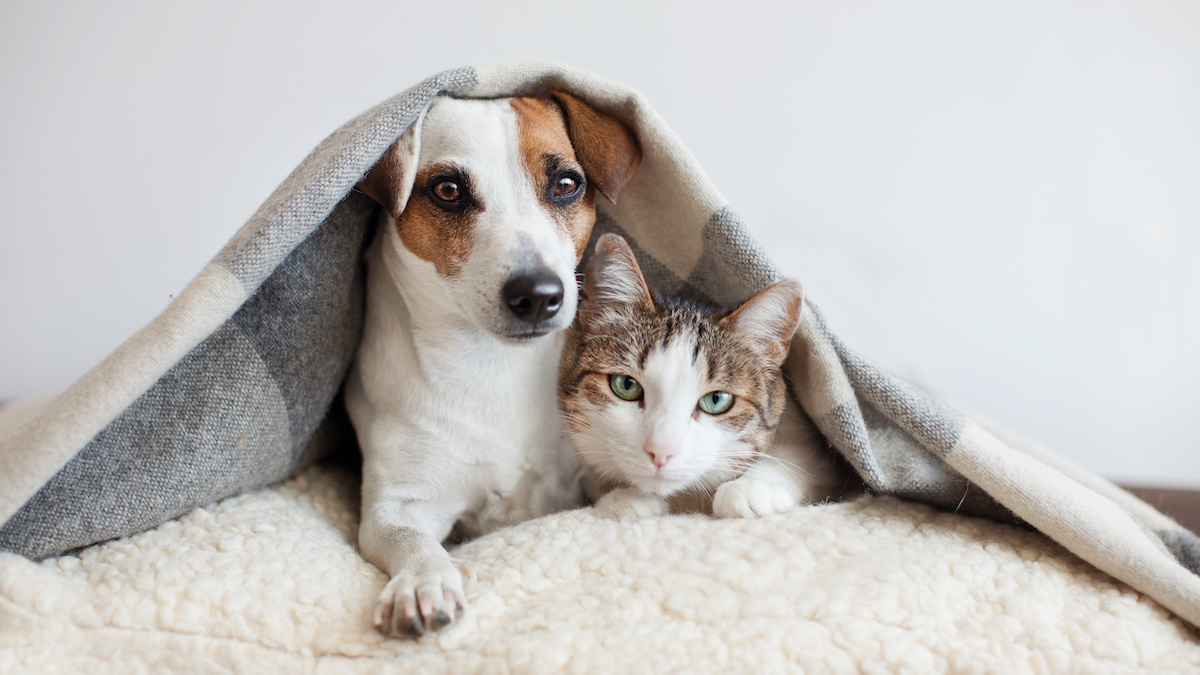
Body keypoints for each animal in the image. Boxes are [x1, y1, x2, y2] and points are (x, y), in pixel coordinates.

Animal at [343, 90, 643, 634]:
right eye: (447, 190)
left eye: (566, 184)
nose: (538, 295)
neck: (494, 365)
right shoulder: (397, 504)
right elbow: (408, 538)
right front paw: (423, 581)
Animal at [559, 234, 849, 516]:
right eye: (626, 385)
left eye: (716, 400)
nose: (660, 451)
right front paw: (623, 497)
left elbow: (802, 458)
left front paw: (752, 487)